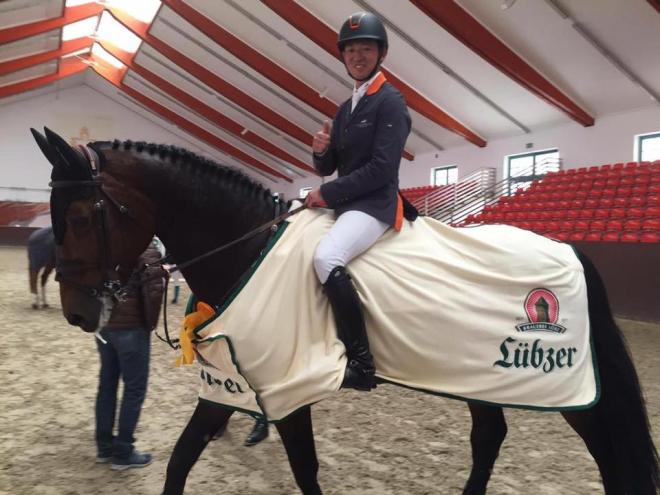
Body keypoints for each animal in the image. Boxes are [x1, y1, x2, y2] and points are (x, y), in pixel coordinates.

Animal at [31, 127, 658, 494]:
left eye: (81, 217)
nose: (79, 315)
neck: (247, 246)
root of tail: (568, 247)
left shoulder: (284, 385)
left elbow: (304, 470)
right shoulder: (235, 382)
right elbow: (181, 459)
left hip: (564, 388)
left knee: (606, 454)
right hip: (478, 374)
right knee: (490, 437)